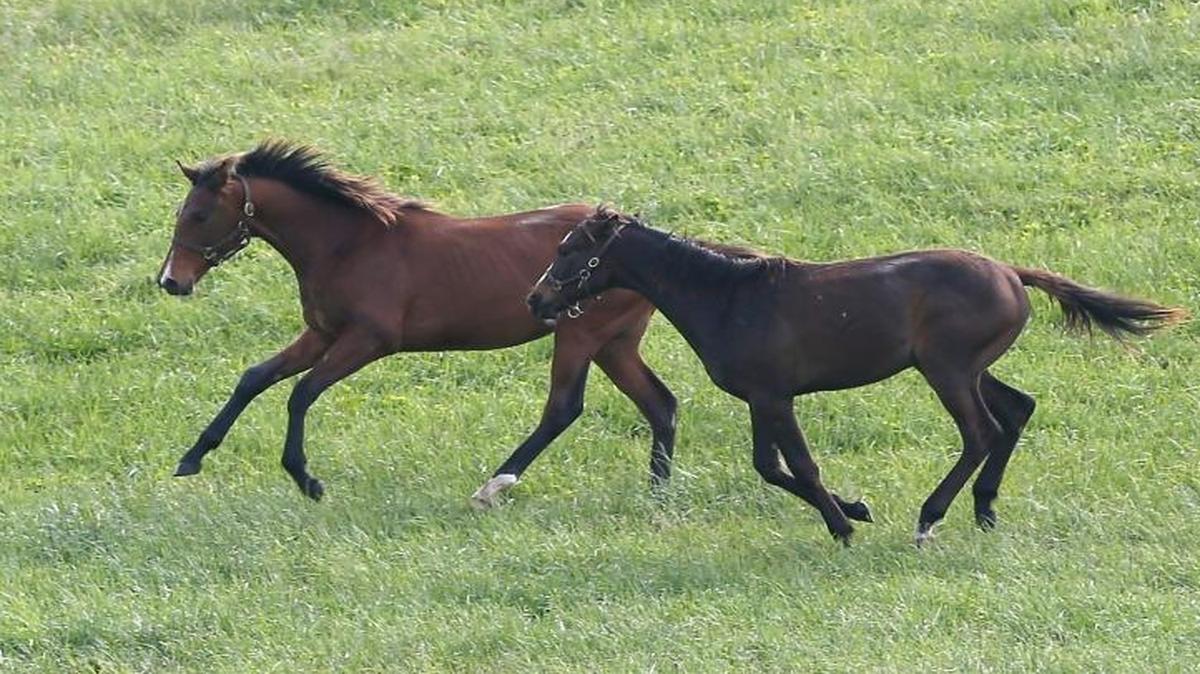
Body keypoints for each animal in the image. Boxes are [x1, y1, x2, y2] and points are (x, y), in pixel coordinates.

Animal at [157, 141, 677, 505]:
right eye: (181, 212)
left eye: (199, 214)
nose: (171, 281)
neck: (348, 244)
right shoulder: (322, 333)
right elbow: (255, 378)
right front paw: (192, 456)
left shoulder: (368, 339)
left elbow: (301, 392)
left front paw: (306, 479)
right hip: (614, 343)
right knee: (660, 404)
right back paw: (658, 491)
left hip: (580, 334)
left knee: (564, 408)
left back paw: (493, 487)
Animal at [526, 207, 1185, 546]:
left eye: (568, 251)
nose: (536, 300)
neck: (727, 298)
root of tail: (1009, 272)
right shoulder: (762, 399)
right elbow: (771, 467)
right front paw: (857, 510)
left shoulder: (774, 396)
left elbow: (798, 464)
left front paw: (843, 525)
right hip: (970, 367)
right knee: (1017, 410)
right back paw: (984, 511)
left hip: (948, 370)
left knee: (983, 432)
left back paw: (930, 518)